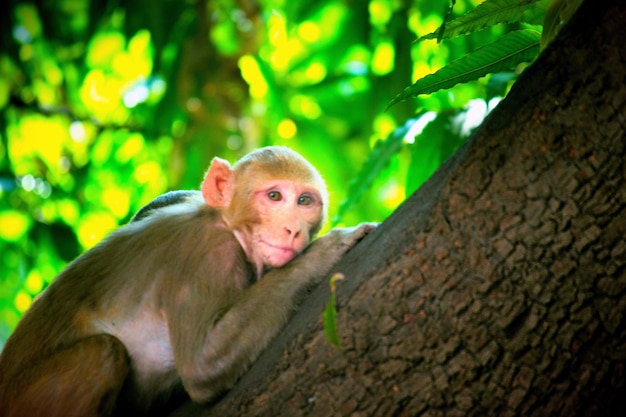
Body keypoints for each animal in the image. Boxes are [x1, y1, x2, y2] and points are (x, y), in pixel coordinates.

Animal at [0, 146, 372, 416]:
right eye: (274, 197)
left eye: (305, 201)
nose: (293, 229)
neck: (229, 227)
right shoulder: (207, 256)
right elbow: (201, 365)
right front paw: (324, 251)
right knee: (102, 353)